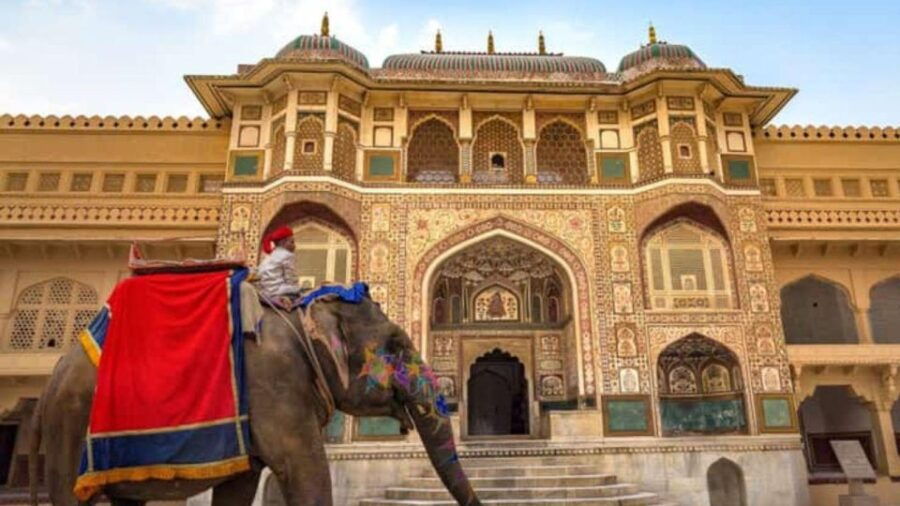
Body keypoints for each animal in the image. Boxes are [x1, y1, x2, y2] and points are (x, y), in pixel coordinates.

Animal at [30, 292, 481, 506]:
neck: (300, 318)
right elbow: (307, 473)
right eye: (396, 344)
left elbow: (241, 488)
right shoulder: (272, 384)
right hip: (69, 421)